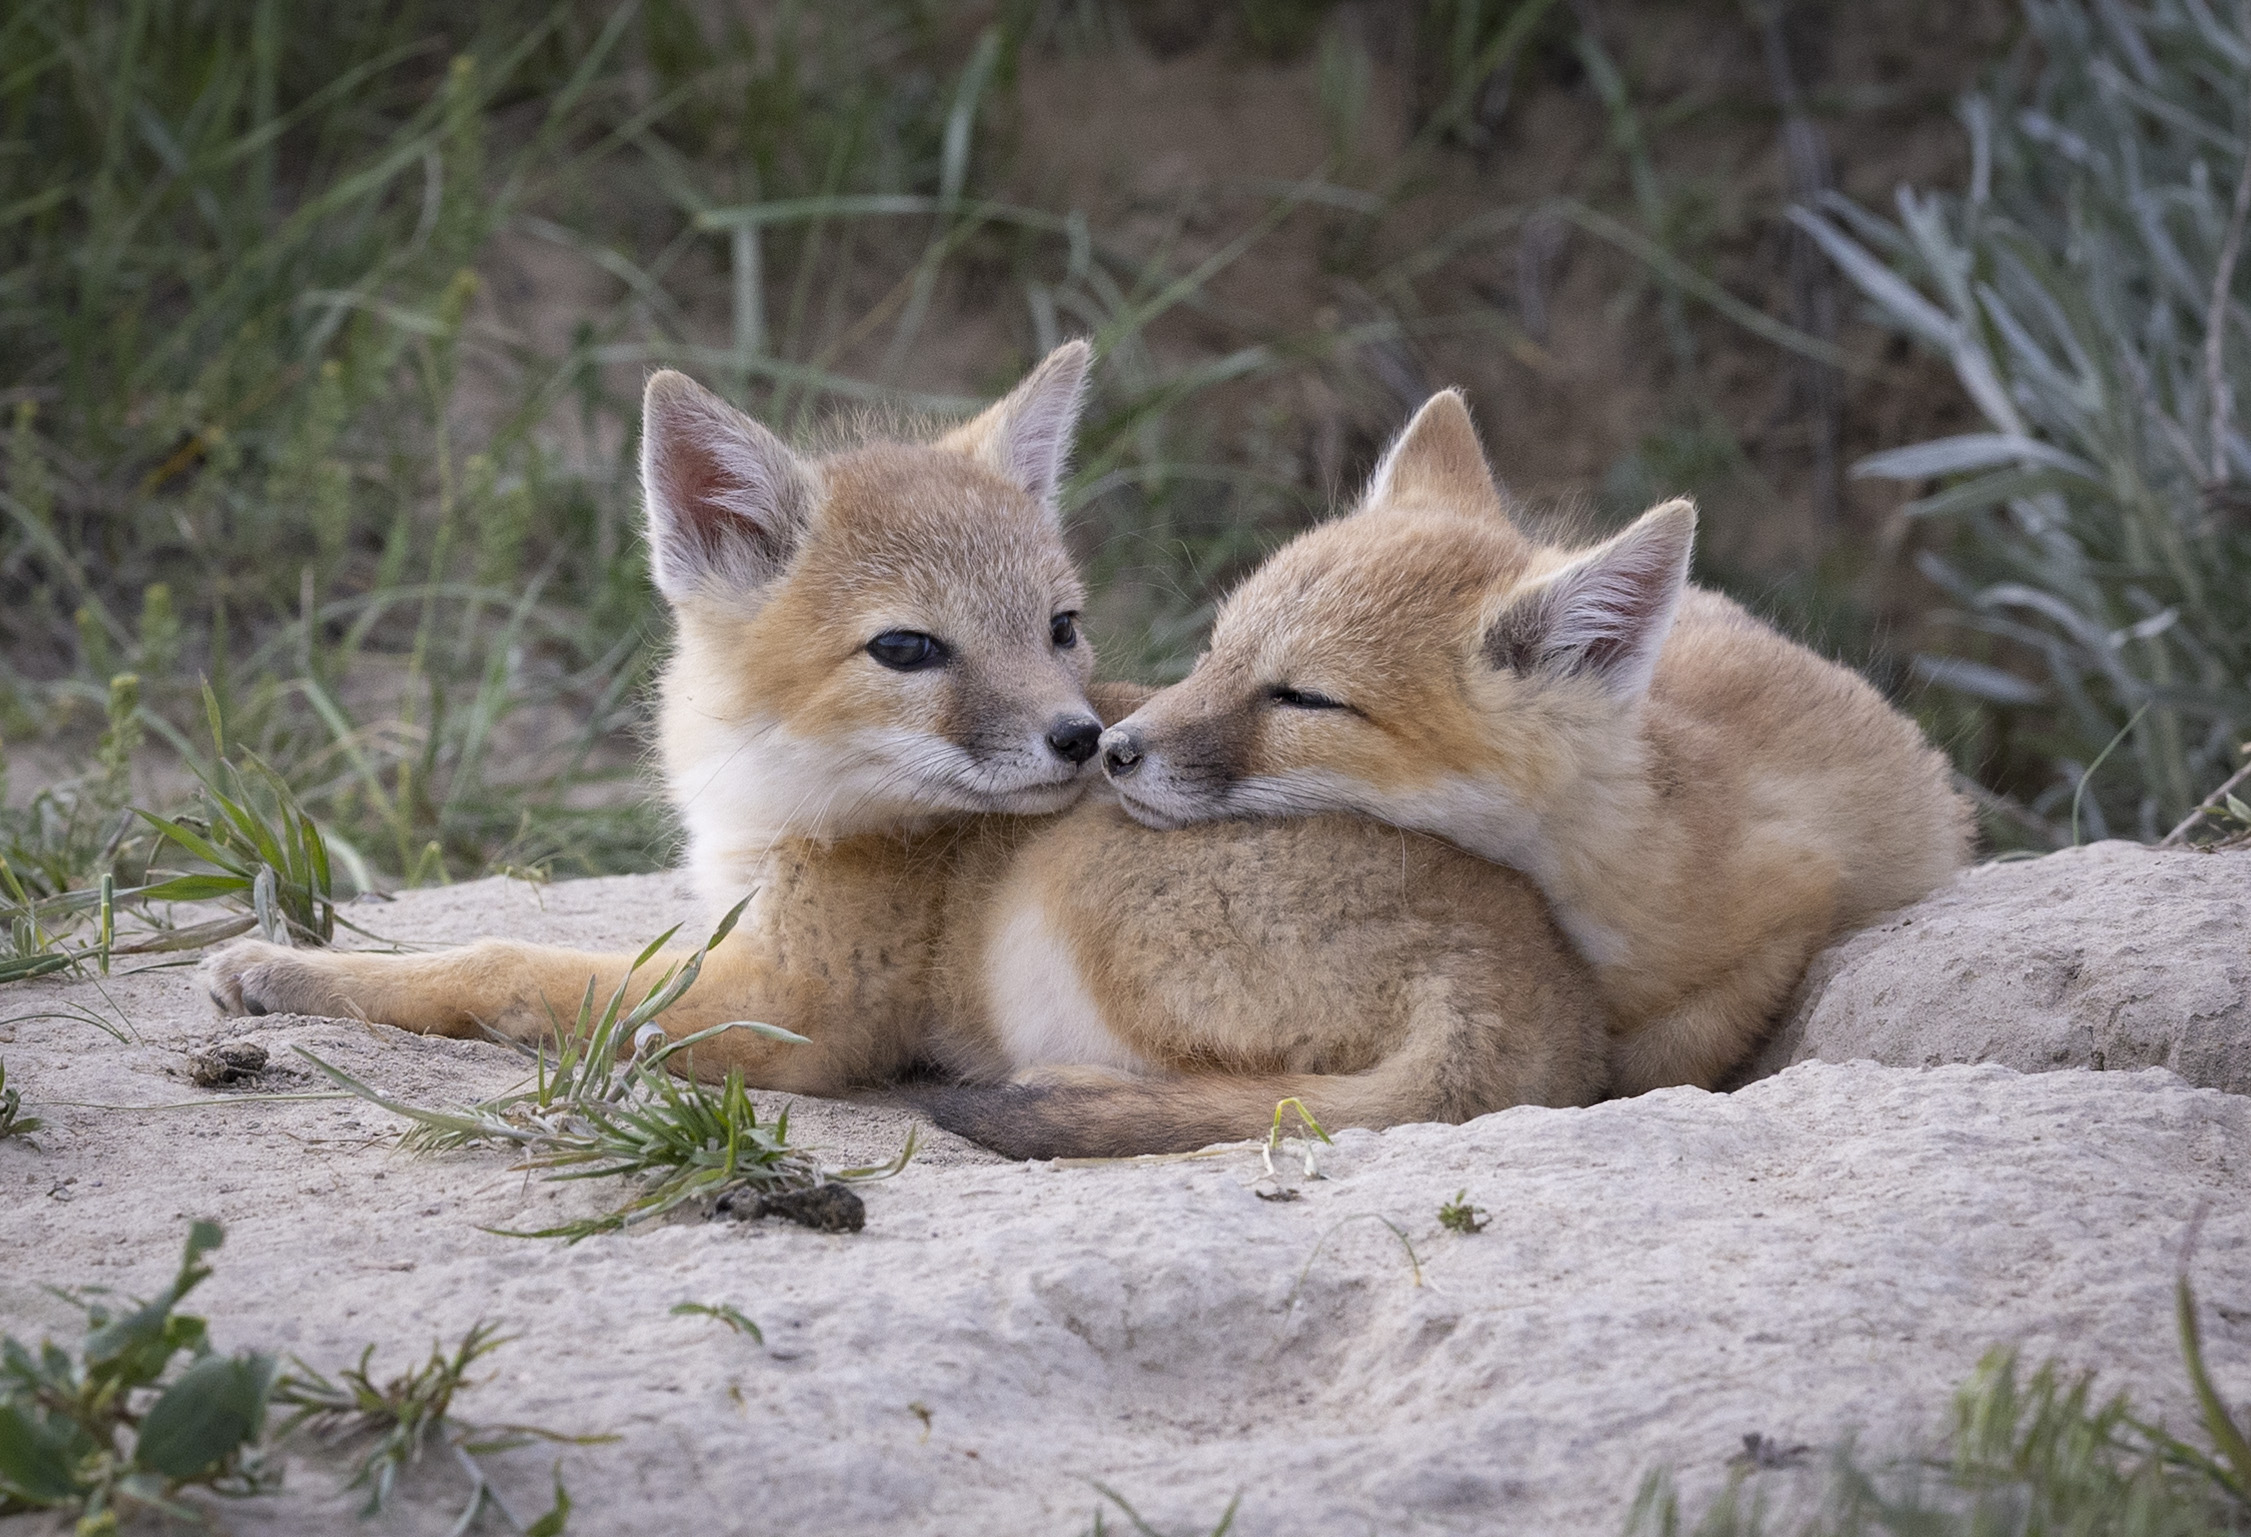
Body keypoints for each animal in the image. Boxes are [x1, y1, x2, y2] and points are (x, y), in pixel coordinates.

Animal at [203, 346, 1609, 1157]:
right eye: (907, 649)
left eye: (1058, 627)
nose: (1086, 741)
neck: (777, 804)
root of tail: (1533, 983)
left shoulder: (787, 1008)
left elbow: (494, 964)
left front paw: (286, 968)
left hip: (1072, 909)